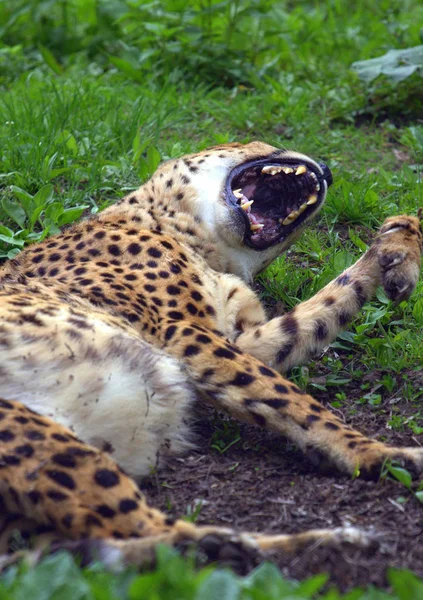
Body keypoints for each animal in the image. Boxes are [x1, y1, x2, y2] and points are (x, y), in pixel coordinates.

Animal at [0, 142, 422, 572]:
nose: (328, 169)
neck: (195, 236)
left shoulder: (238, 339)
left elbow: (324, 309)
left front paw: (400, 240)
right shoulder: (187, 336)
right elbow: (294, 400)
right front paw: (380, 453)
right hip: (38, 441)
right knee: (144, 536)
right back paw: (321, 544)